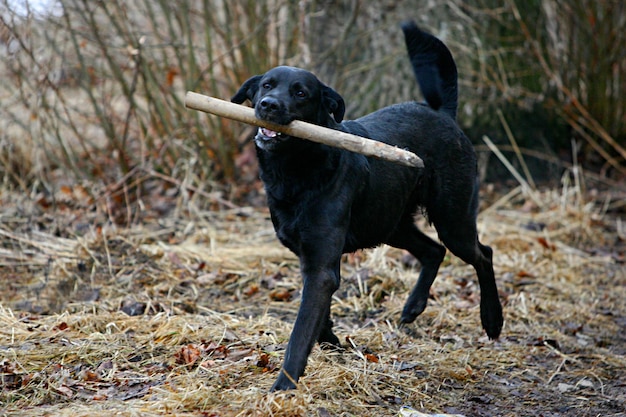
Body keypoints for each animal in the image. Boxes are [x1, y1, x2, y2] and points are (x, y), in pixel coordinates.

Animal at [232, 22, 500, 390]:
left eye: (301, 93)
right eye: (266, 85)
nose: (269, 105)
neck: (298, 169)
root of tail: (443, 114)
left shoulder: (321, 265)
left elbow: (300, 332)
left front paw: (284, 385)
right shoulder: (311, 256)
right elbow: (318, 314)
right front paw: (329, 339)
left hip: (452, 219)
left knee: (481, 253)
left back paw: (492, 319)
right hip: (390, 223)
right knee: (433, 251)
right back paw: (413, 307)